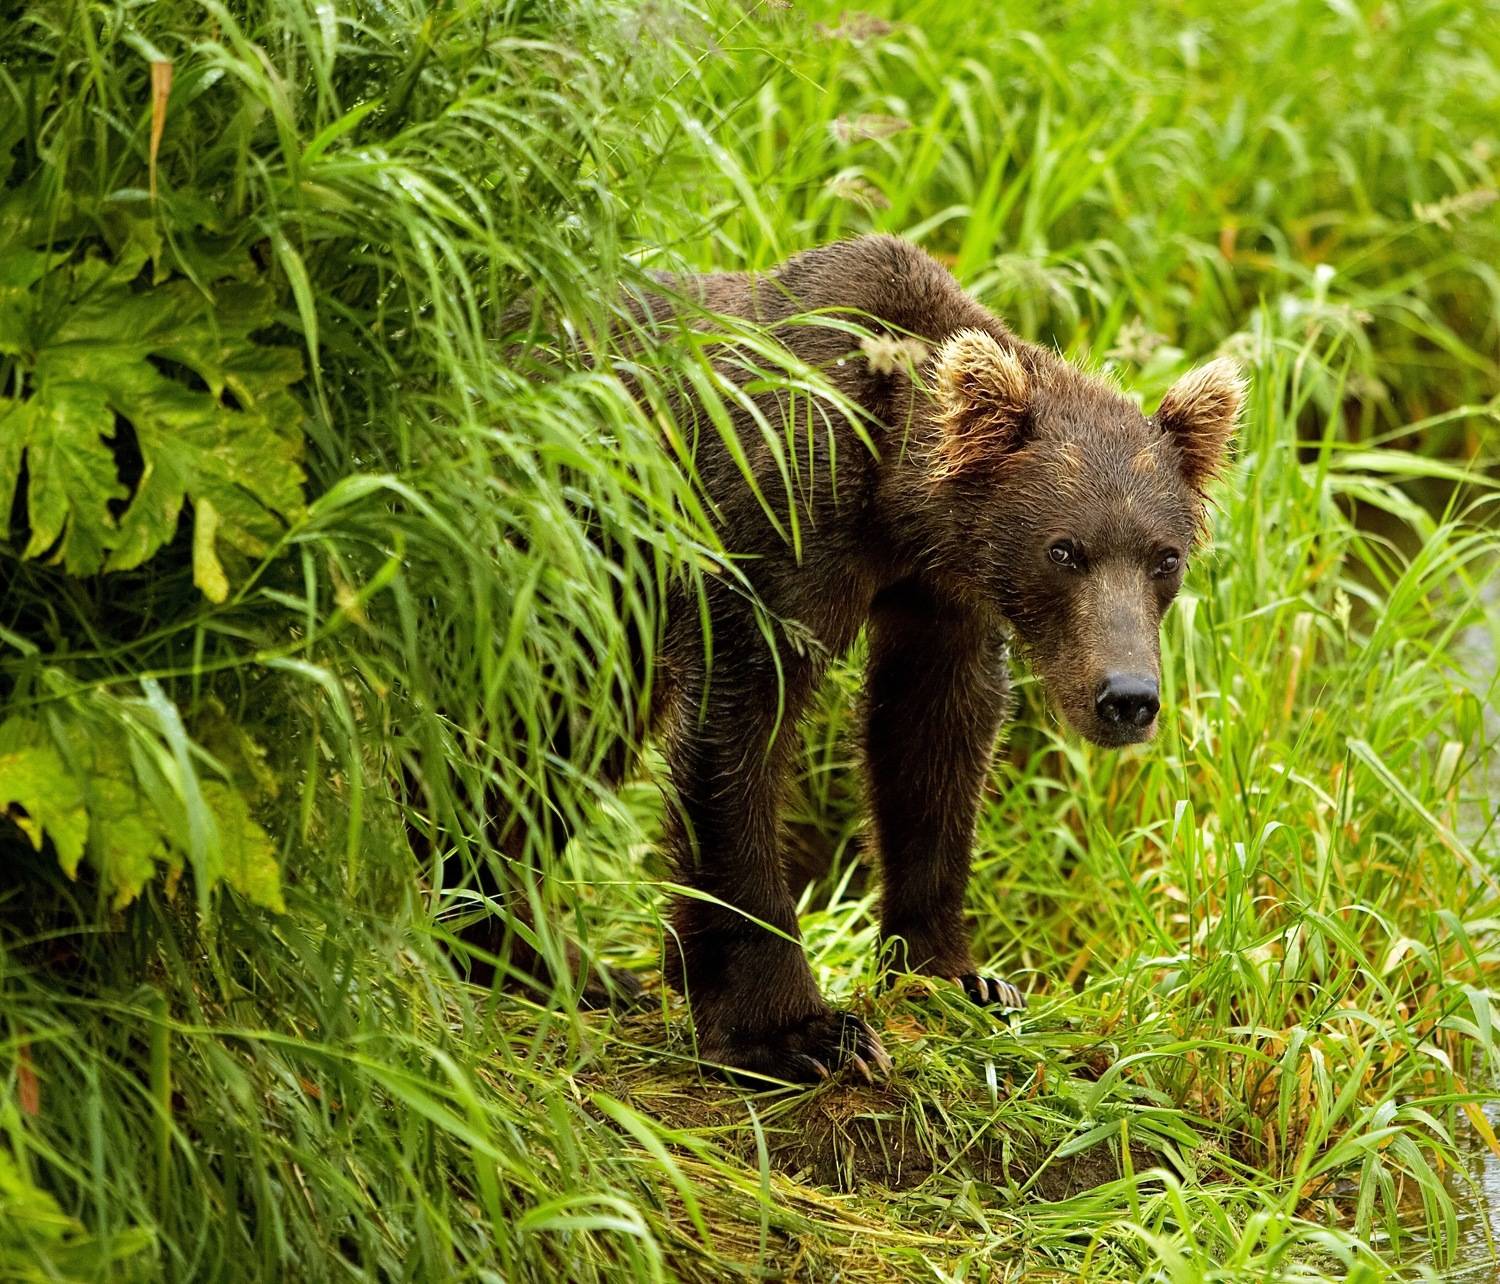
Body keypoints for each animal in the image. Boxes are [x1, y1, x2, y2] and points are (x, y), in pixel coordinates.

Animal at [609, 235, 1245, 1083]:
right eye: (1063, 550)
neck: (892, 508)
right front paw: (798, 1030)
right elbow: (741, 726)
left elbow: (931, 739)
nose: (1127, 697)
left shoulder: (943, 598)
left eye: (1165, 557)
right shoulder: (772, 515)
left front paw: (959, 976)